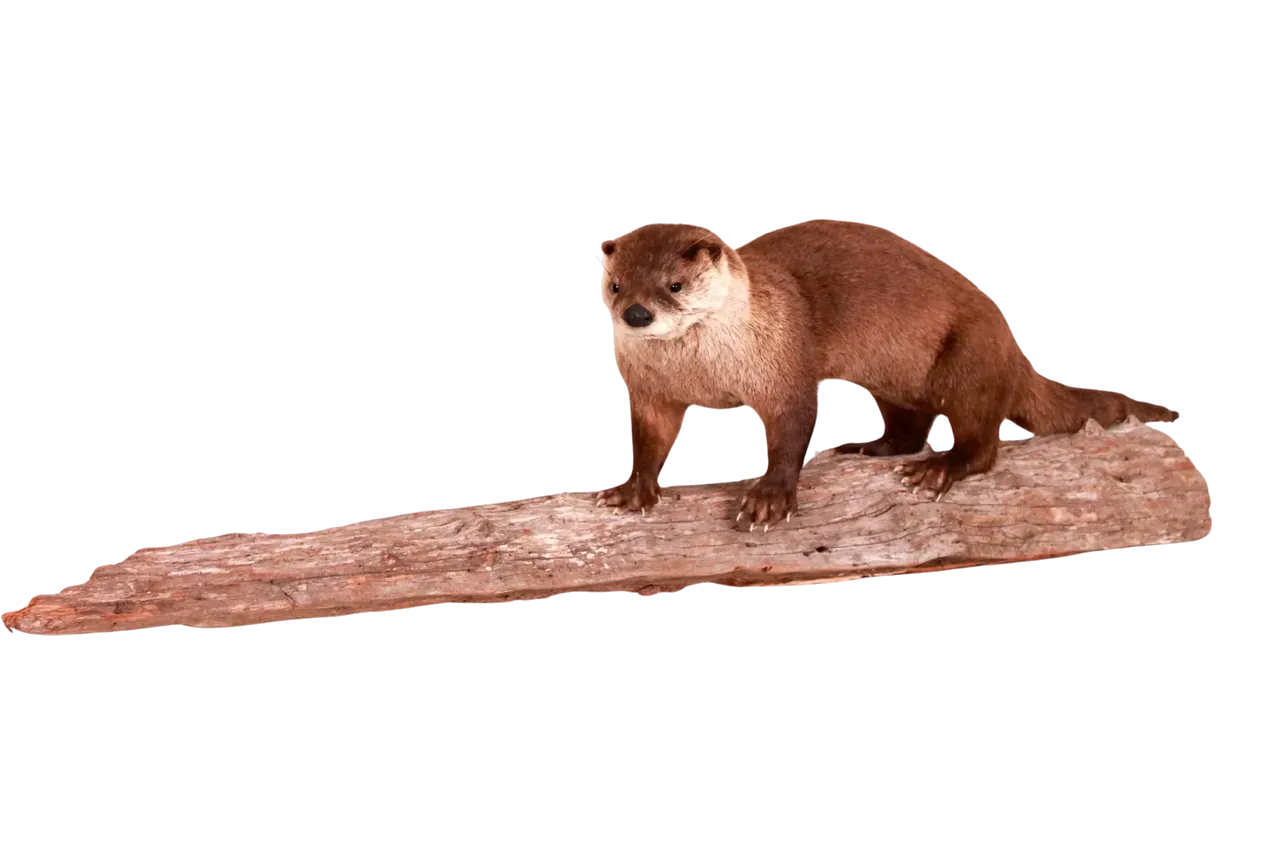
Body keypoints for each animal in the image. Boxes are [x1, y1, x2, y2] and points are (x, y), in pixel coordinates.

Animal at [595, 218, 1179, 532]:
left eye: (673, 284)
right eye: (616, 285)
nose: (636, 314)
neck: (705, 373)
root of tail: (1016, 357)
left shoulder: (784, 369)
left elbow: (790, 428)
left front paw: (769, 498)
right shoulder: (650, 392)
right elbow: (653, 437)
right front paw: (633, 488)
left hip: (972, 357)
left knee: (980, 438)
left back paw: (937, 469)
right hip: (892, 379)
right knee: (911, 423)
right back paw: (869, 446)